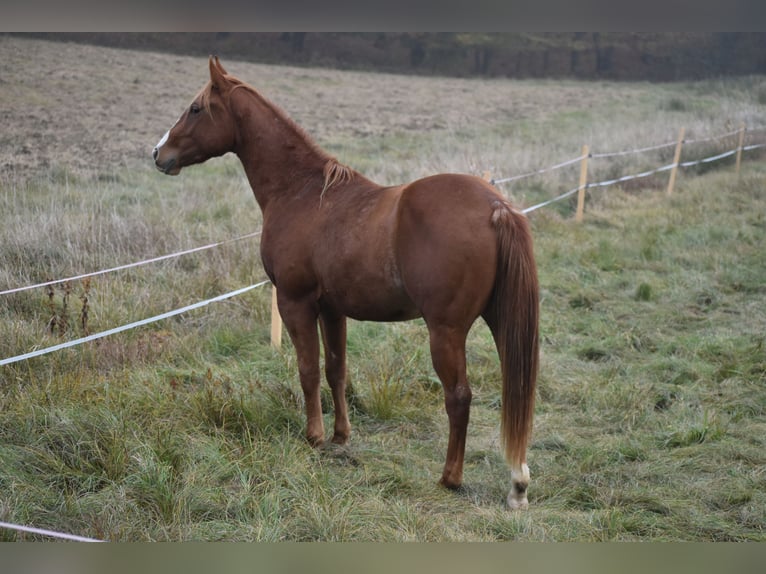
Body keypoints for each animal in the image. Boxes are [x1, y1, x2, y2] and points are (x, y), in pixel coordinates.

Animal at [153, 57, 539, 509]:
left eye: (196, 109)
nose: (158, 154)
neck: (303, 192)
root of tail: (496, 206)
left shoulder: (295, 302)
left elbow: (307, 369)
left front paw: (314, 436)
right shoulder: (332, 309)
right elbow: (336, 369)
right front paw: (340, 435)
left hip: (446, 331)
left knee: (459, 396)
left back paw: (450, 477)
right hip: (501, 322)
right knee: (517, 390)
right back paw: (517, 484)